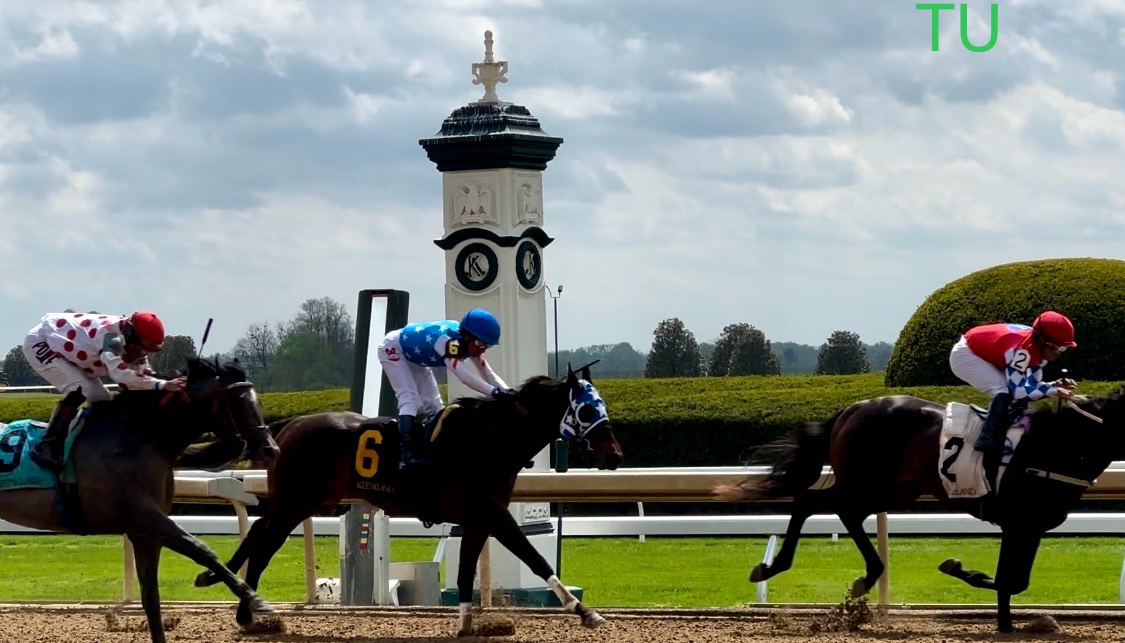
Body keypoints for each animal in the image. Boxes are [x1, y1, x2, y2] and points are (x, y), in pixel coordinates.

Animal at [0, 357, 281, 643]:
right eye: (237, 401)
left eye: (258, 401)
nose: (271, 449)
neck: (141, 437)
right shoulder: (145, 516)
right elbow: (201, 549)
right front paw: (252, 598)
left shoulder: (144, 532)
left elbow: (151, 598)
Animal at [192, 364, 625, 634]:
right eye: (587, 410)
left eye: (601, 405)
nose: (615, 455)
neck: (489, 440)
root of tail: (287, 426)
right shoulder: (493, 514)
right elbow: (534, 558)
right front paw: (585, 611)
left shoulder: (476, 521)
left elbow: (466, 572)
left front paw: (466, 625)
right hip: (295, 503)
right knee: (263, 546)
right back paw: (247, 614)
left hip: (305, 503)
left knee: (257, 534)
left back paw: (225, 587)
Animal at [711, 386, 1125, 634]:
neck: (1058, 445)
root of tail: (851, 409)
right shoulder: (1018, 522)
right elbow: (1009, 580)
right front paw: (959, 569)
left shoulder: (1030, 526)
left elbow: (1014, 581)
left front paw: (1006, 623)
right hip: (865, 482)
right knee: (810, 502)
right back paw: (773, 567)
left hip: (891, 491)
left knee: (845, 514)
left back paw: (866, 576)